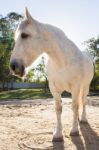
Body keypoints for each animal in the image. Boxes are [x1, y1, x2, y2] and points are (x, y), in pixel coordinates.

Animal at [9, 8, 93, 142]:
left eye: (24, 35)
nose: (14, 66)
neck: (62, 62)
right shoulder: (53, 88)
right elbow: (58, 109)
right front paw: (58, 134)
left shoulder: (76, 87)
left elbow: (74, 106)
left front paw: (74, 130)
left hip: (85, 87)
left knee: (83, 102)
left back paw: (83, 119)